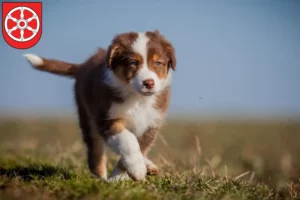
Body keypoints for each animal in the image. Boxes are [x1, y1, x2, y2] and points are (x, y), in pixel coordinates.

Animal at [24, 29, 176, 181]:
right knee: (96, 153)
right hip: (87, 118)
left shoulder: (151, 125)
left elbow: (138, 147)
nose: (149, 83)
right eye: (133, 63)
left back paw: (148, 166)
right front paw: (134, 170)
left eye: (158, 63)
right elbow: (128, 141)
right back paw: (101, 179)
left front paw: (119, 177)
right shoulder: (106, 118)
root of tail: (83, 65)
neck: (137, 98)